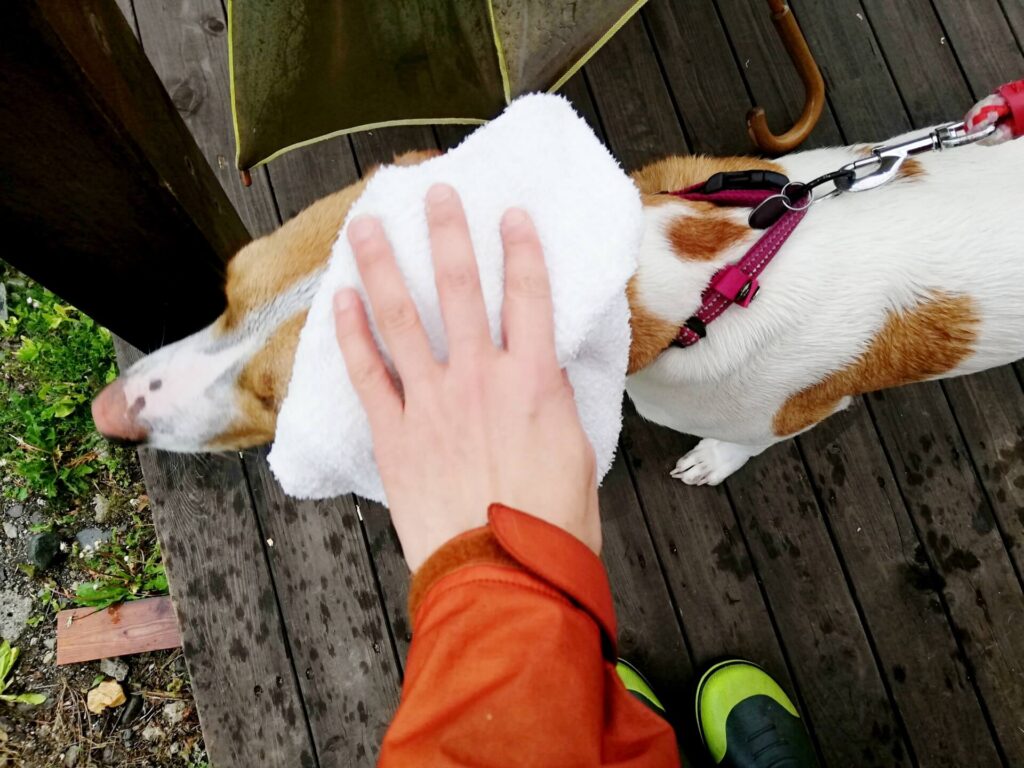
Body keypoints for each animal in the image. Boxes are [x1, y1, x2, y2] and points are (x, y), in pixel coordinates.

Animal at [94, 129, 1024, 483]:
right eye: (226, 290)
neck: (717, 275)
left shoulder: (793, 411)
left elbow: (747, 440)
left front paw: (713, 461)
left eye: (279, 401)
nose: (108, 413)